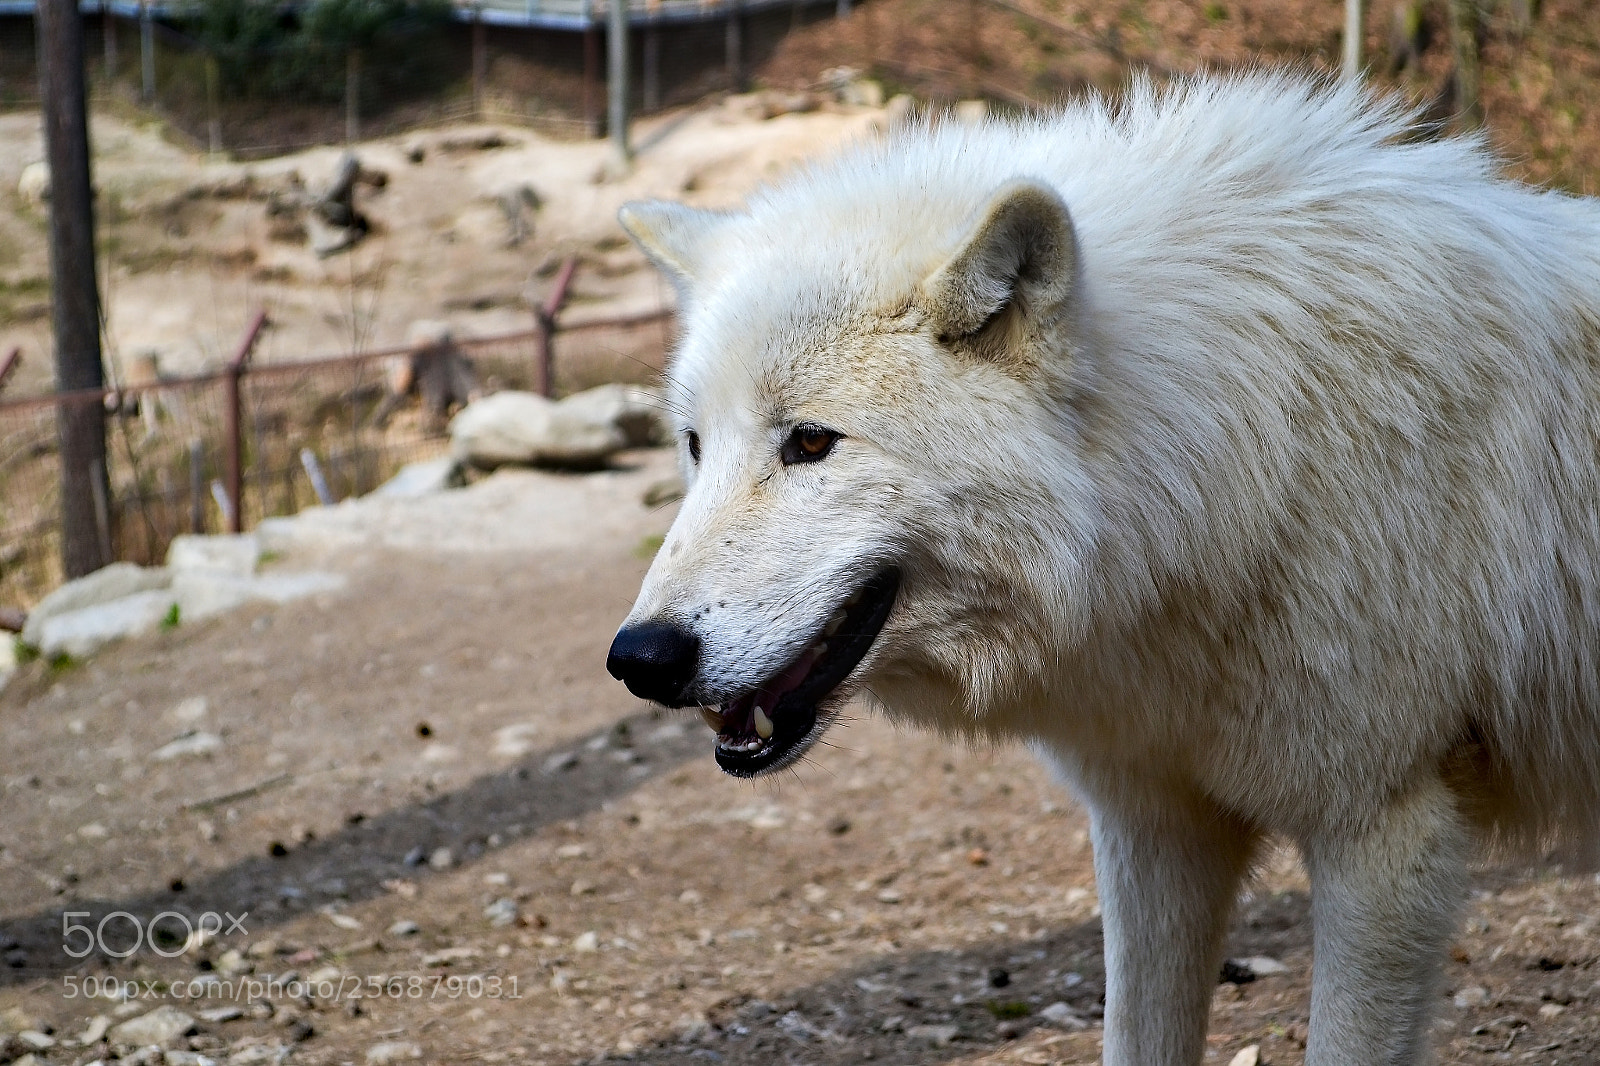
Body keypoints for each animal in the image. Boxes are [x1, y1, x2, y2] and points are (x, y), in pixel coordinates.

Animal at [605, 72, 1600, 1065]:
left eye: (811, 441)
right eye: (695, 446)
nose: (639, 658)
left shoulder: (1386, 834)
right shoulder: (1152, 825)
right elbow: (1137, 1032)